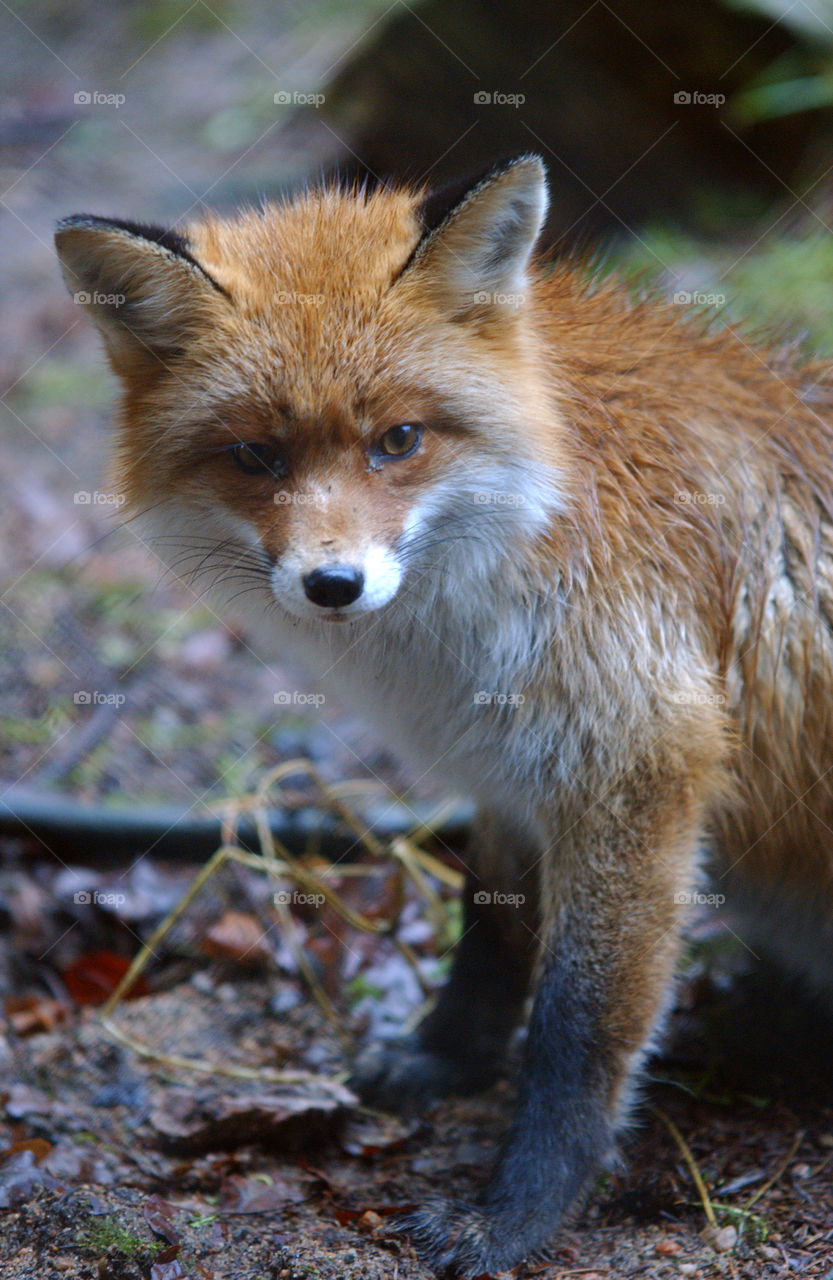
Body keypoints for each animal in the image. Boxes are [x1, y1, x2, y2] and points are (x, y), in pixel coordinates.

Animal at [55, 157, 833, 1269]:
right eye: (255, 457)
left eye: (399, 440)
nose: (333, 583)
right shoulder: (507, 768)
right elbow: (490, 935)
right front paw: (443, 1059)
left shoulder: (635, 768)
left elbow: (576, 1029)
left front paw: (516, 1214)